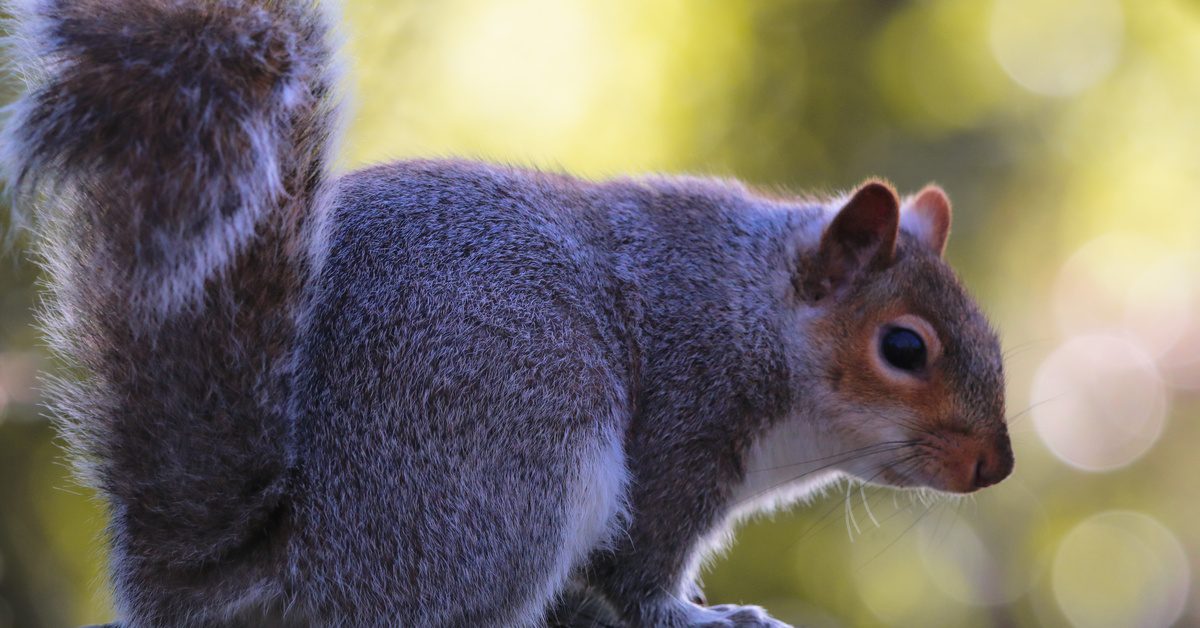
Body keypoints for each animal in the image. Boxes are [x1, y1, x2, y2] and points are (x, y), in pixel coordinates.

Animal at [2, 0, 1013, 626]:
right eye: (903, 346)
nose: (994, 466)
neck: (751, 308)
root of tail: (265, 565)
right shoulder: (681, 431)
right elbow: (643, 572)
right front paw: (703, 614)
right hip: (520, 459)